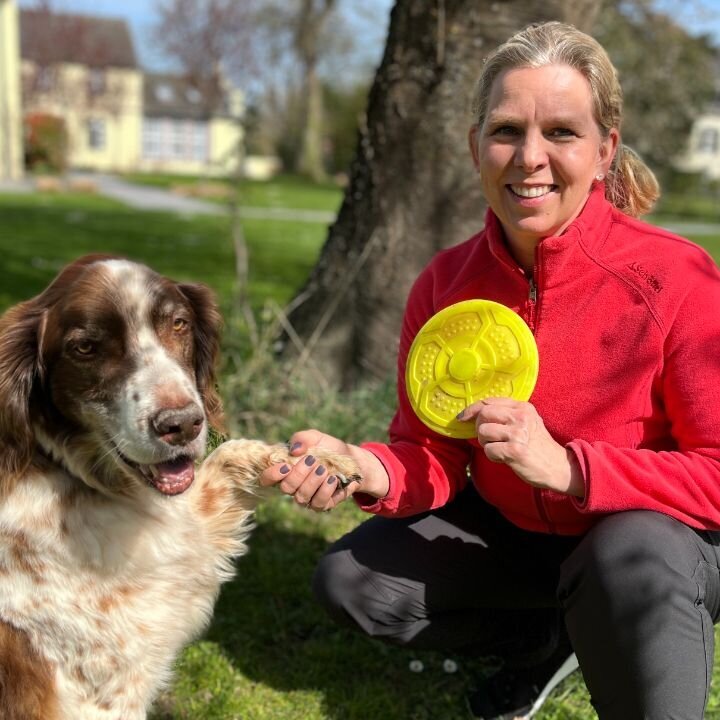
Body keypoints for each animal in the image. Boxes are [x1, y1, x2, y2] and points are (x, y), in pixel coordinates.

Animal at [0, 256, 360, 720]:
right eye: (85, 348)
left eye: (178, 324)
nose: (183, 424)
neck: (78, 478)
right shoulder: (107, 690)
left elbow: (230, 454)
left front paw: (319, 459)